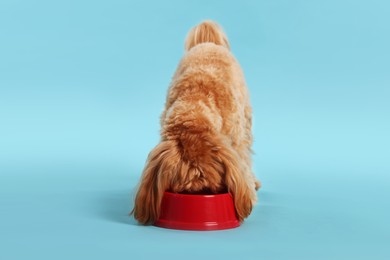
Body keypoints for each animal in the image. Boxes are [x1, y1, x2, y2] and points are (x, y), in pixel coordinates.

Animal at [133, 20, 260, 224]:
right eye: (183, 191)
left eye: (212, 188)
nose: (199, 196)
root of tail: (208, 43)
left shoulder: (235, 141)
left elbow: (243, 162)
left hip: (245, 119)